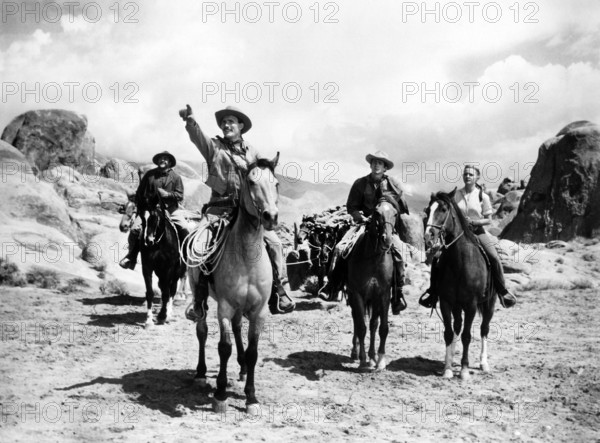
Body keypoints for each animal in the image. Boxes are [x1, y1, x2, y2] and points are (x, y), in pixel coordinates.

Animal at [139, 198, 186, 326]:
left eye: (154, 218)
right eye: (142, 217)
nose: (148, 241)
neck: (159, 244)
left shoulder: (168, 269)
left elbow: (166, 293)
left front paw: (162, 316)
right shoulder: (147, 267)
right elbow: (150, 293)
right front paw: (149, 320)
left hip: (175, 273)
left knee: (172, 290)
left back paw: (168, 314)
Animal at [188, 154, 282, 414]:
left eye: (276, 183)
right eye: (251, 182)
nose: (271, 217)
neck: (248, 257)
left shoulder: (259, 312)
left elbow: (252, 352)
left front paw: (251, 397)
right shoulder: (225, 307)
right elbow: (224, 347)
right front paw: (220, 394)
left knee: (239, 328)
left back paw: (241, 369)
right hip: (199, 295)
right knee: (202, 331)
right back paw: (200, 374)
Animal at [344, 198, 396, 372]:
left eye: (395, 214)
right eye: (377, 213)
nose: (387, 239)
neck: (374, 259)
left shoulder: (383, 294)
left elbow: (382, 327)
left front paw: (379, 360)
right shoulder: (357, 294)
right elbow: (361, 327)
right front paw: (362, 360)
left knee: (373, 324)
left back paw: (372, 357)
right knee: (356, 320)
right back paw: (355, 352)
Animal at [424, 189, 500, 380]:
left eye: (443, 209)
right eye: (428, 210)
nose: (428, 236)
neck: (460, 262)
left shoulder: (471, 304)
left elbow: (467, 336)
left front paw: (464, 370)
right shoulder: (446, 302)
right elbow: (449, 333)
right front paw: (448, 368)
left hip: (489, 304)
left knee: (484, 329)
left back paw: (483, 363)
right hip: (457, 306)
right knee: (457, 327)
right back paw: (451, 358)